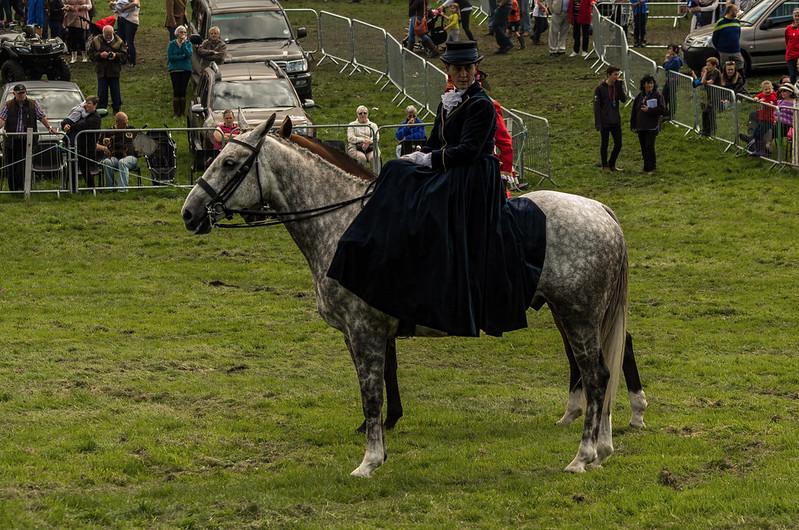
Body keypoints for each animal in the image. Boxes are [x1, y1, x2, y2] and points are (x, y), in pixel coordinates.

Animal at [181, 116, 644, 474]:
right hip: (572, 315)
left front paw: (369, 460)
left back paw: (585, 455)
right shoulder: (363, 332)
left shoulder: (365, 329)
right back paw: (601, 443)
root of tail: (601, 212)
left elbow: (371, 392)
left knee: (599, 375)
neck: (344, 223)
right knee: (598, 367)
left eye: (231, 162)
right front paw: (381, 441)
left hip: (579, 315)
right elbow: (381, 381)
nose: (189, 212)